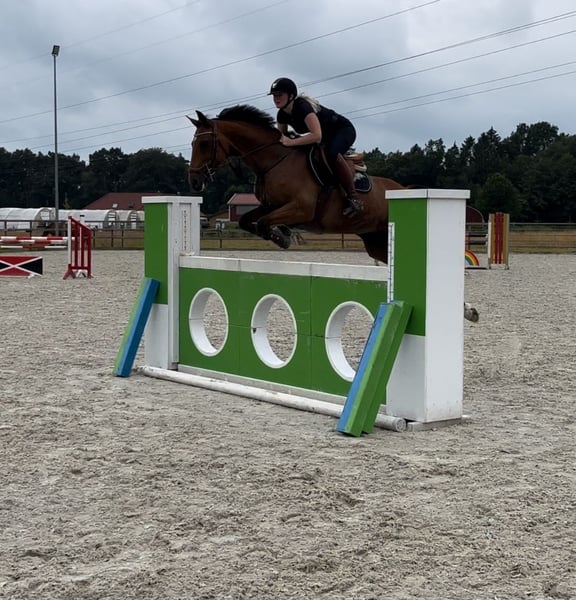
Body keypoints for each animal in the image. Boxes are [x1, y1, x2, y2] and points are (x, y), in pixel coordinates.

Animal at [187, 104, 479, 322]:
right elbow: (250, 221)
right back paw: (467, 310)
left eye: (204, 144)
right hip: (376, 242)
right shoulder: (269, 205)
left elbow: (263, 222)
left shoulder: (301, 209)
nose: (194, 182)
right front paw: (281, 235)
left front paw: (282, 236)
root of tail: (403, 190)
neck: (274, 161)